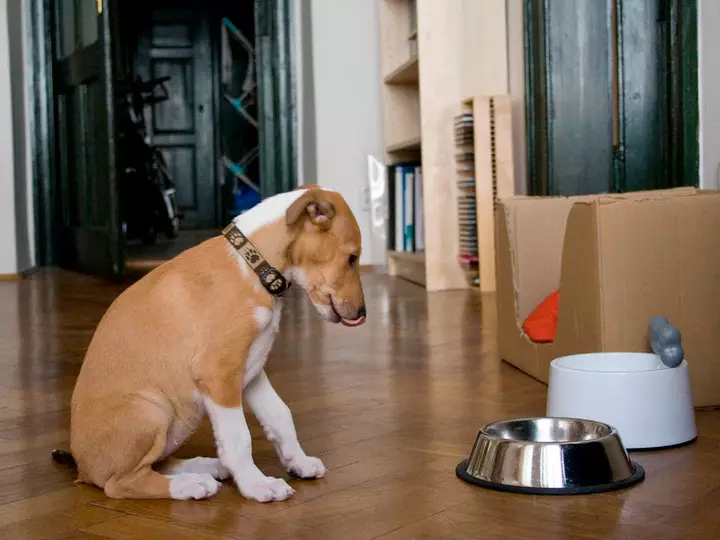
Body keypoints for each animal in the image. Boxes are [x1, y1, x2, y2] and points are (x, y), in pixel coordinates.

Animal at [57, 186, 366, 502]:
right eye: (352, 258)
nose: (361, 313)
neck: (252, 266)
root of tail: (83, 467)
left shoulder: (251, 371)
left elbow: (280, 414)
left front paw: (298, 462)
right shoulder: (219, 374)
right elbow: (238, 437)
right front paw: (257, 485)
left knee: (159, 463)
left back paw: (207, 467)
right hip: (150, 410)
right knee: (122, 482)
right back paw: (191, 484)